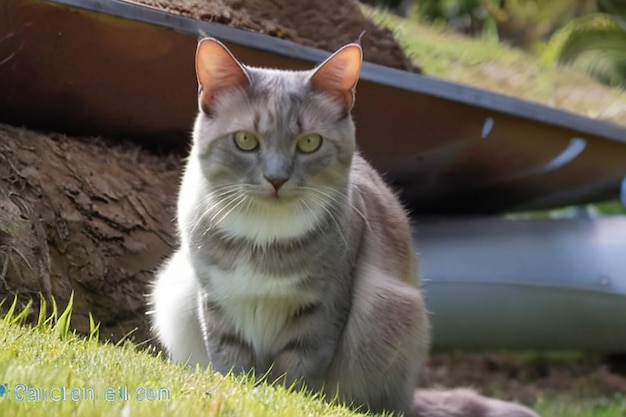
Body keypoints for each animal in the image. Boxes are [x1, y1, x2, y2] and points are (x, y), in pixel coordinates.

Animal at [150, 36, 536, 416]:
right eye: (245, 140)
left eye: (309, 142)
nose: (277, 179)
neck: (264, 234)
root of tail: (412, 398)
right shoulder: (214, 297)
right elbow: (229, 357)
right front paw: (236, 389)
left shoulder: (325, 302)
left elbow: (297, 365)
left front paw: (277, 398)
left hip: (391, 311)